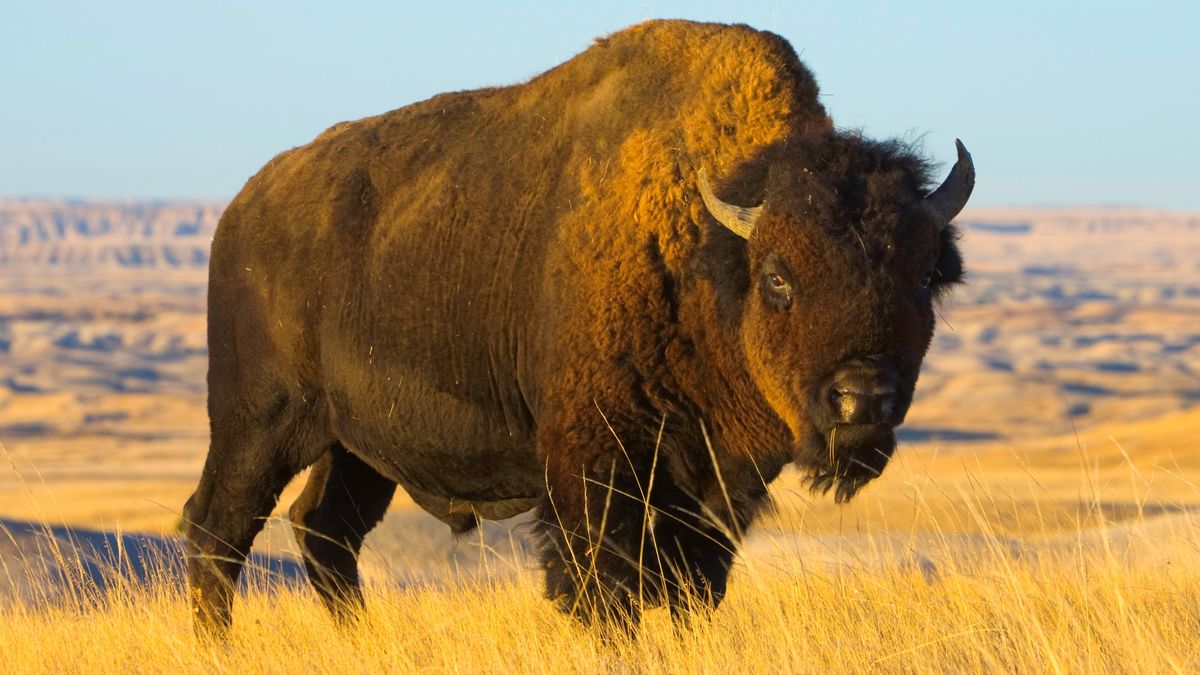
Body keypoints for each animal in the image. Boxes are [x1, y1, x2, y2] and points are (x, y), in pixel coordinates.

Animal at [187, 19, 974, 629]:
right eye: (779, 276)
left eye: (922, 276)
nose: (861, 397)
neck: (706, 252)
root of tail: (241, 209)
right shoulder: (593, 461)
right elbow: (602, 586)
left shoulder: (713, 486)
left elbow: (692, 587)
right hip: (259, 424)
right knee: (216, 529)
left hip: (355, 446)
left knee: (326, 530)